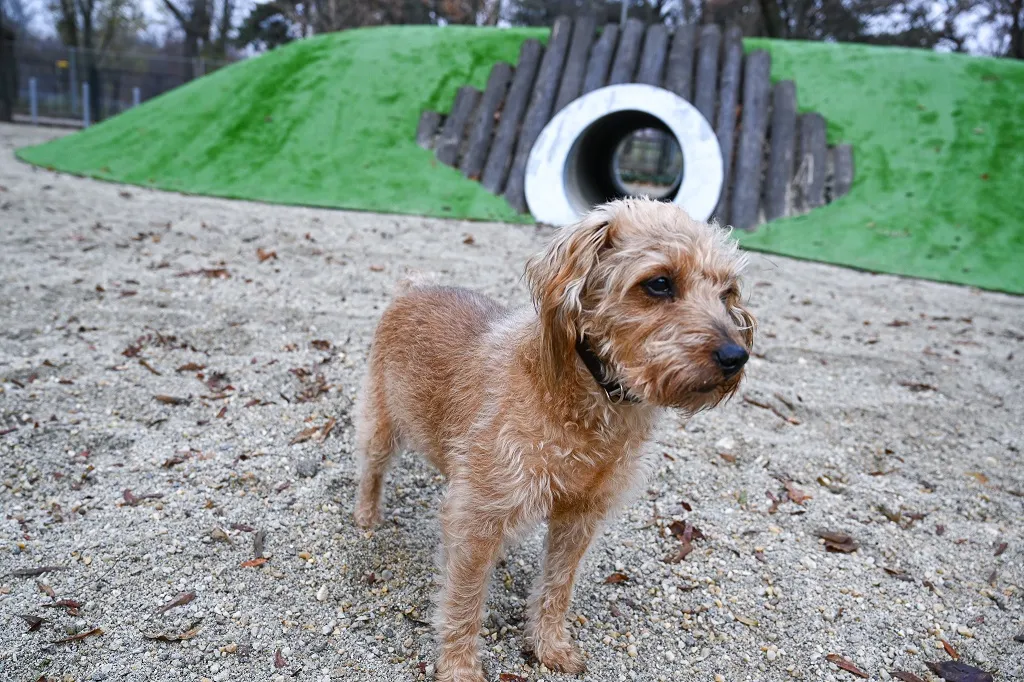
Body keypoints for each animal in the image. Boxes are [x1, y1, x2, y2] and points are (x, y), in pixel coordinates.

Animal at [352, 193, 753, 675]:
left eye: (727, 292)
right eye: (659, 283)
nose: (735, 356)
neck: (592, 400)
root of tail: (415, 286)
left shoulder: (579, 518)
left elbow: (558, 587)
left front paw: (548, 646)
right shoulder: (477, 516)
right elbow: (463, 601)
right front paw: (460, 668)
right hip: (381, 422)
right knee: (372, 468)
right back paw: (367, 516)